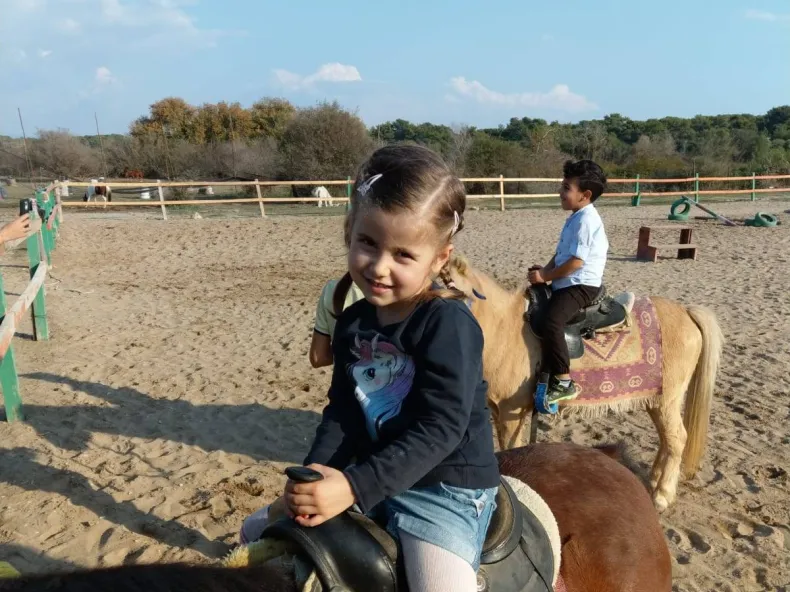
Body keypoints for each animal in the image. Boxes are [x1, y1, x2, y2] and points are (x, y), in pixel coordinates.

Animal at [446, 252, 724, 512]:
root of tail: (686, 312)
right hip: (656, 400)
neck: (506, 329)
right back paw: (655, 479)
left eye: (447, 285)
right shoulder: (499, 412)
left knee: (677, 438)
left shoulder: (510, 414)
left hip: (668, 400)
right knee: (666, 439)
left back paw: (663, 495)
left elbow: (510, 450)